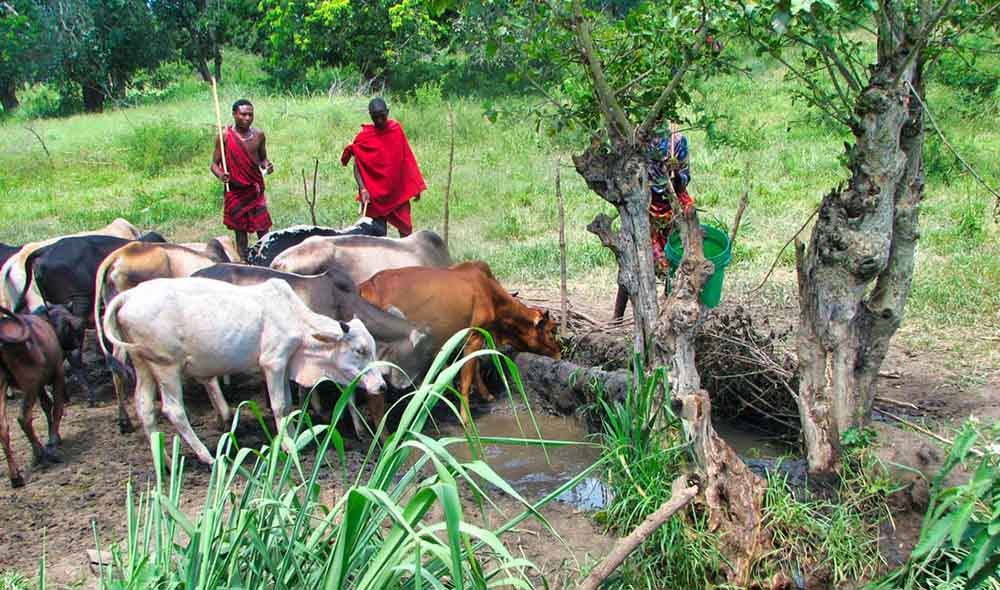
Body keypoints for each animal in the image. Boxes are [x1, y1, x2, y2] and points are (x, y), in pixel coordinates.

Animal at [0, 308, 67, 488]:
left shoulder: (40, 385)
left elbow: (47, 404)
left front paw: (54, 437)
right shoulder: (58, 374)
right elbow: (57, 408)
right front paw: (52, 444)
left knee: (3, 428)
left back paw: (16, 476)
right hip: (29, 382)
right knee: (24, 418)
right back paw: (40, 453)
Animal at [360, 262, 564, 424]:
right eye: (551, 331)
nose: (559, 354)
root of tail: (366, 286)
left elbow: (472, 369)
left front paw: (486, 394)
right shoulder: (474, 335)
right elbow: (467, 376)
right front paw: (465, 417)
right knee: (374, 399)